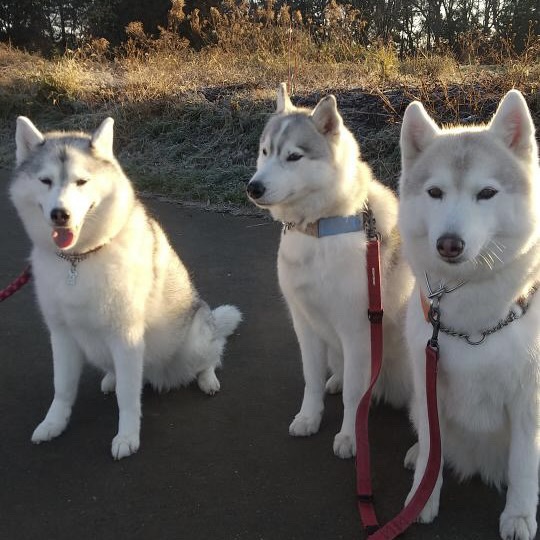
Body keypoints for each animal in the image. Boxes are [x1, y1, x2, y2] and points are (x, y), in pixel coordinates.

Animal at [10, 117, 241, 459]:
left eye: (81, 181)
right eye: (45, 181)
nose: (60, 214)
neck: (79, 259)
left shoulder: (127, 336)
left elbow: (127, 396)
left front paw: (127, 436)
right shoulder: (62, 334)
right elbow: (62, 388)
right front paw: (53, 424)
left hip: (195, 340)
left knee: (212, 354)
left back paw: (207, 378)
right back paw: (109, 377)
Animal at [246, 84, 413, 458]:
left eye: (294, 157)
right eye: (265, 152)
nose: (254, 187)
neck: (318, 229)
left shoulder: (357, 331)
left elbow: (355, 394)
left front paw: (350, 436)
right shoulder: (304, 323)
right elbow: (311, 378)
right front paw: (309, 416)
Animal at [399, 90, 540, 539]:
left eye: (487, 193)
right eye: (435, 192)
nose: (449, 243)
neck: (473, 323)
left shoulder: (529, 400)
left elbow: (524, 464)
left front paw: (518, 514)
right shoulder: (428, 388)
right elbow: (433, 447)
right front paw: (423, 495)